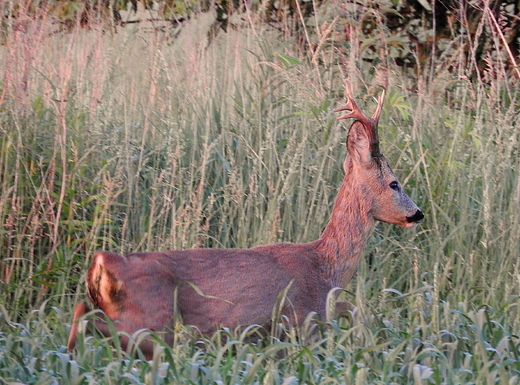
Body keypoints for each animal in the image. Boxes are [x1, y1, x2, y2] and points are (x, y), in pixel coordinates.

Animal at [67, 82, 422, 358]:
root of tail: (102, 261)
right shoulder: (301, 322)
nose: (417, 214)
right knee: (88, 319)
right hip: (148, 322)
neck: (325, 266)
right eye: (394, 183)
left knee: (83, 311)